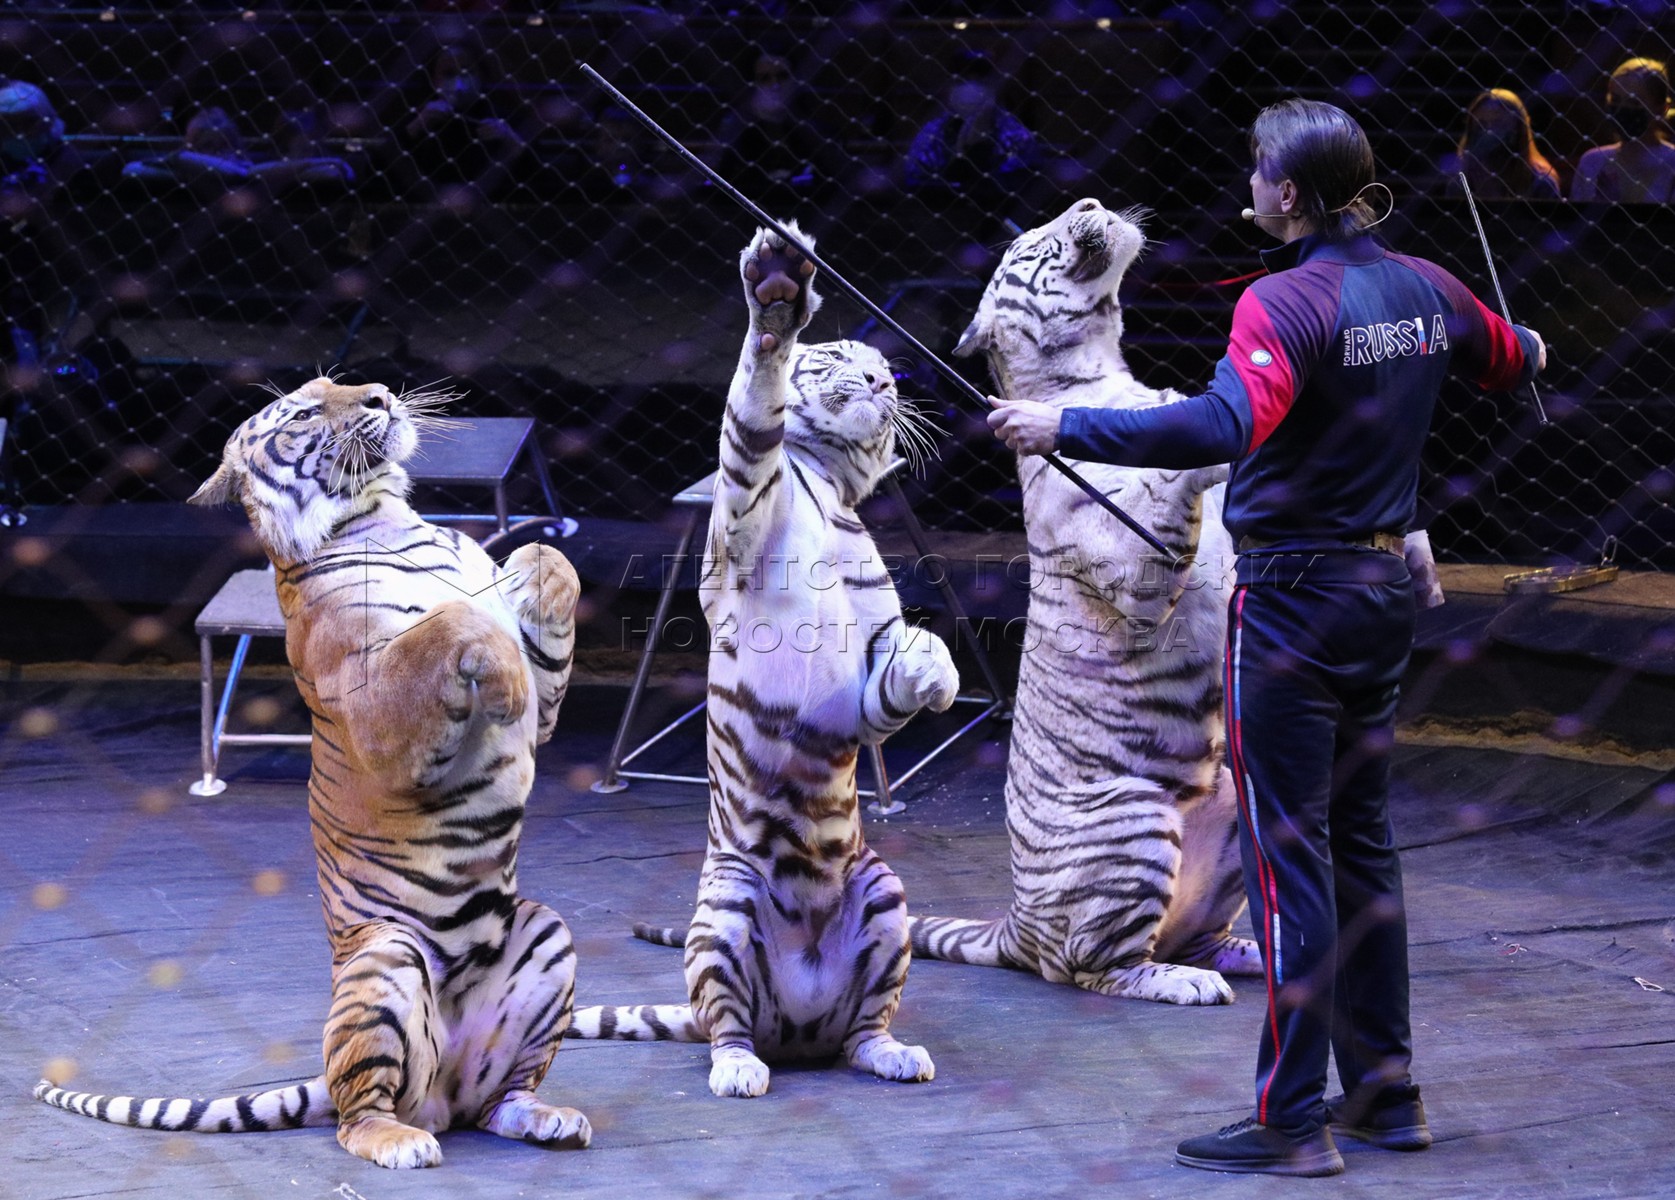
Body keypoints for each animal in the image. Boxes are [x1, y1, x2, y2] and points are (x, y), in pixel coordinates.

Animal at [34, 376, 589, 1169]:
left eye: (338, 383)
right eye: (301, 411)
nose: (382, 395)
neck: (387, 514)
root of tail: (442, 1095)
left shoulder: (541, 705)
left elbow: (548, 556)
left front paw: (526, 592)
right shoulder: (377, 714)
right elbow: (449, 623)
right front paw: (499, 672)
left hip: (545, 932)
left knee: (495, 1102)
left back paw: (545, 1118)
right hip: (385, 958)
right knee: (362, 1112)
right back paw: (400, 1140)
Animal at [564, 223, 958, 1099]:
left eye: (885, 371)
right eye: (840, 355)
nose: (882, 380)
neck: (829, 486)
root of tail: (799, 1023)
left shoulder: (864, 675)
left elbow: (902, 669)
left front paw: (934, 670)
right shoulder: (739, 526)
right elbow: (754, 407)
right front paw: (777, 301)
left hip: (883, 891)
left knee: (861, 1030)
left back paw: (892, 1053)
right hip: (727, 904)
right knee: (726, 1026)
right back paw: (739, 1069)